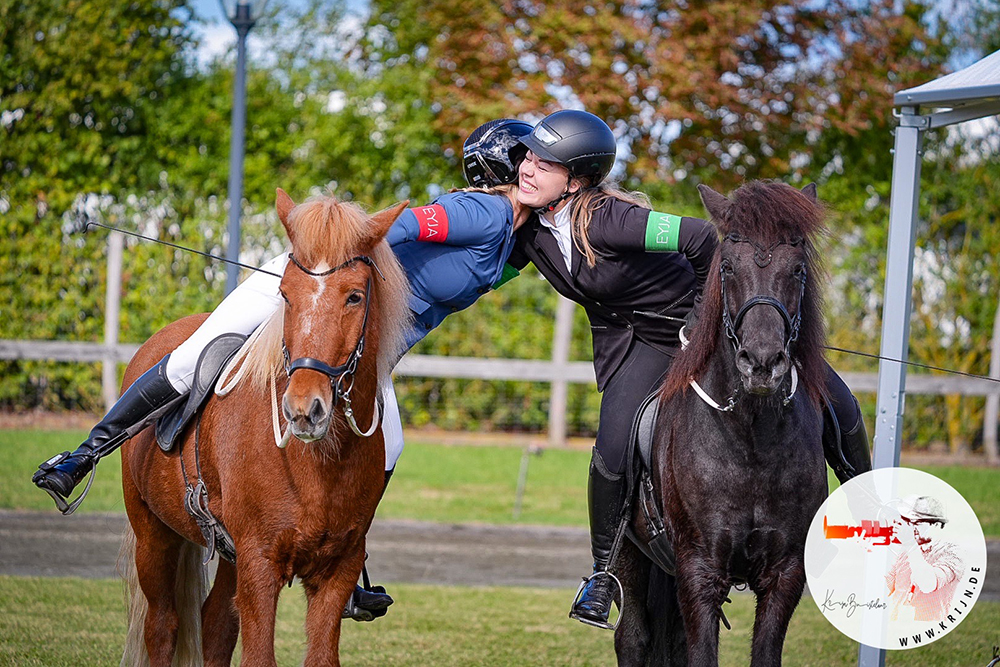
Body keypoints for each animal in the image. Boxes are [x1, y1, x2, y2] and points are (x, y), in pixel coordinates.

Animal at [116, 189, 410, 667]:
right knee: (161, 627)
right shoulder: (259, 564)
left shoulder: (337, 571)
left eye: (354, 297)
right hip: (153, 535)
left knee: (216, 623)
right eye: (285, 295)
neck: (316, 464)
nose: (303, 409)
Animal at [612, 181, 832, 667]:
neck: (751, 439)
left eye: (798, 270)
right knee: (632, 637)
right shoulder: (699, 571)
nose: (763, 363)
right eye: (728, 266)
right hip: (632, 557)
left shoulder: (784, 575)